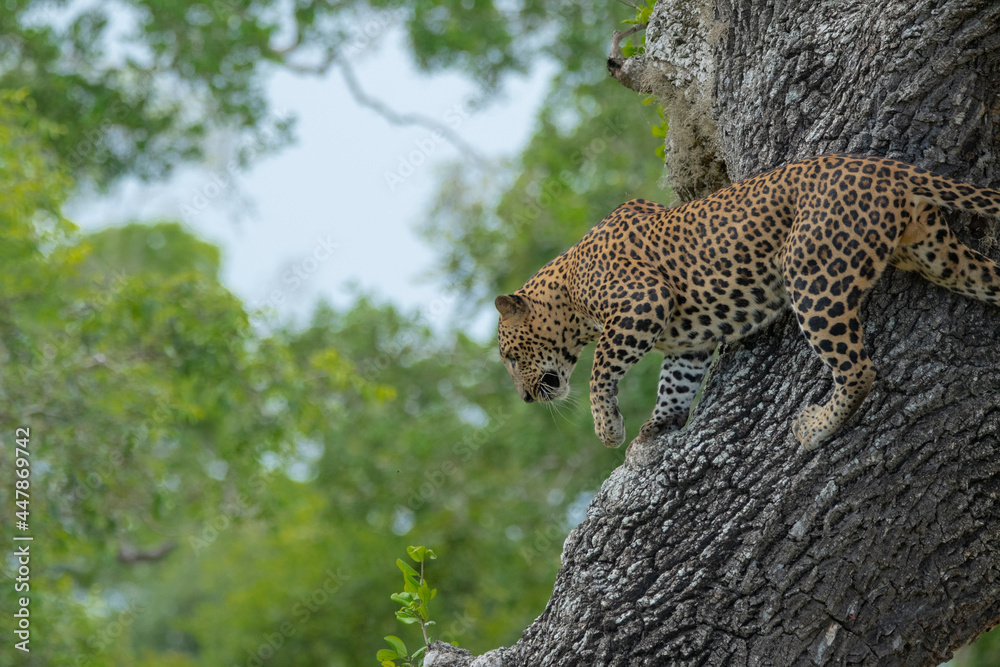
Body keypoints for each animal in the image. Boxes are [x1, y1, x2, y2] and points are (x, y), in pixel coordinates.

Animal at [495, 154, 1000, 451]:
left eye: (510, 358)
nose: (523, 398)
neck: (567, 287)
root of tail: (885, 167)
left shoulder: (642, 301)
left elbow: (600, 368)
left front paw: (609, 429)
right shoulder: (689, 341)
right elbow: (674, 383)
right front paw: (657, 427)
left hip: (811, 275)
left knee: (859, 370)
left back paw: (816, 427)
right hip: (938, 255)